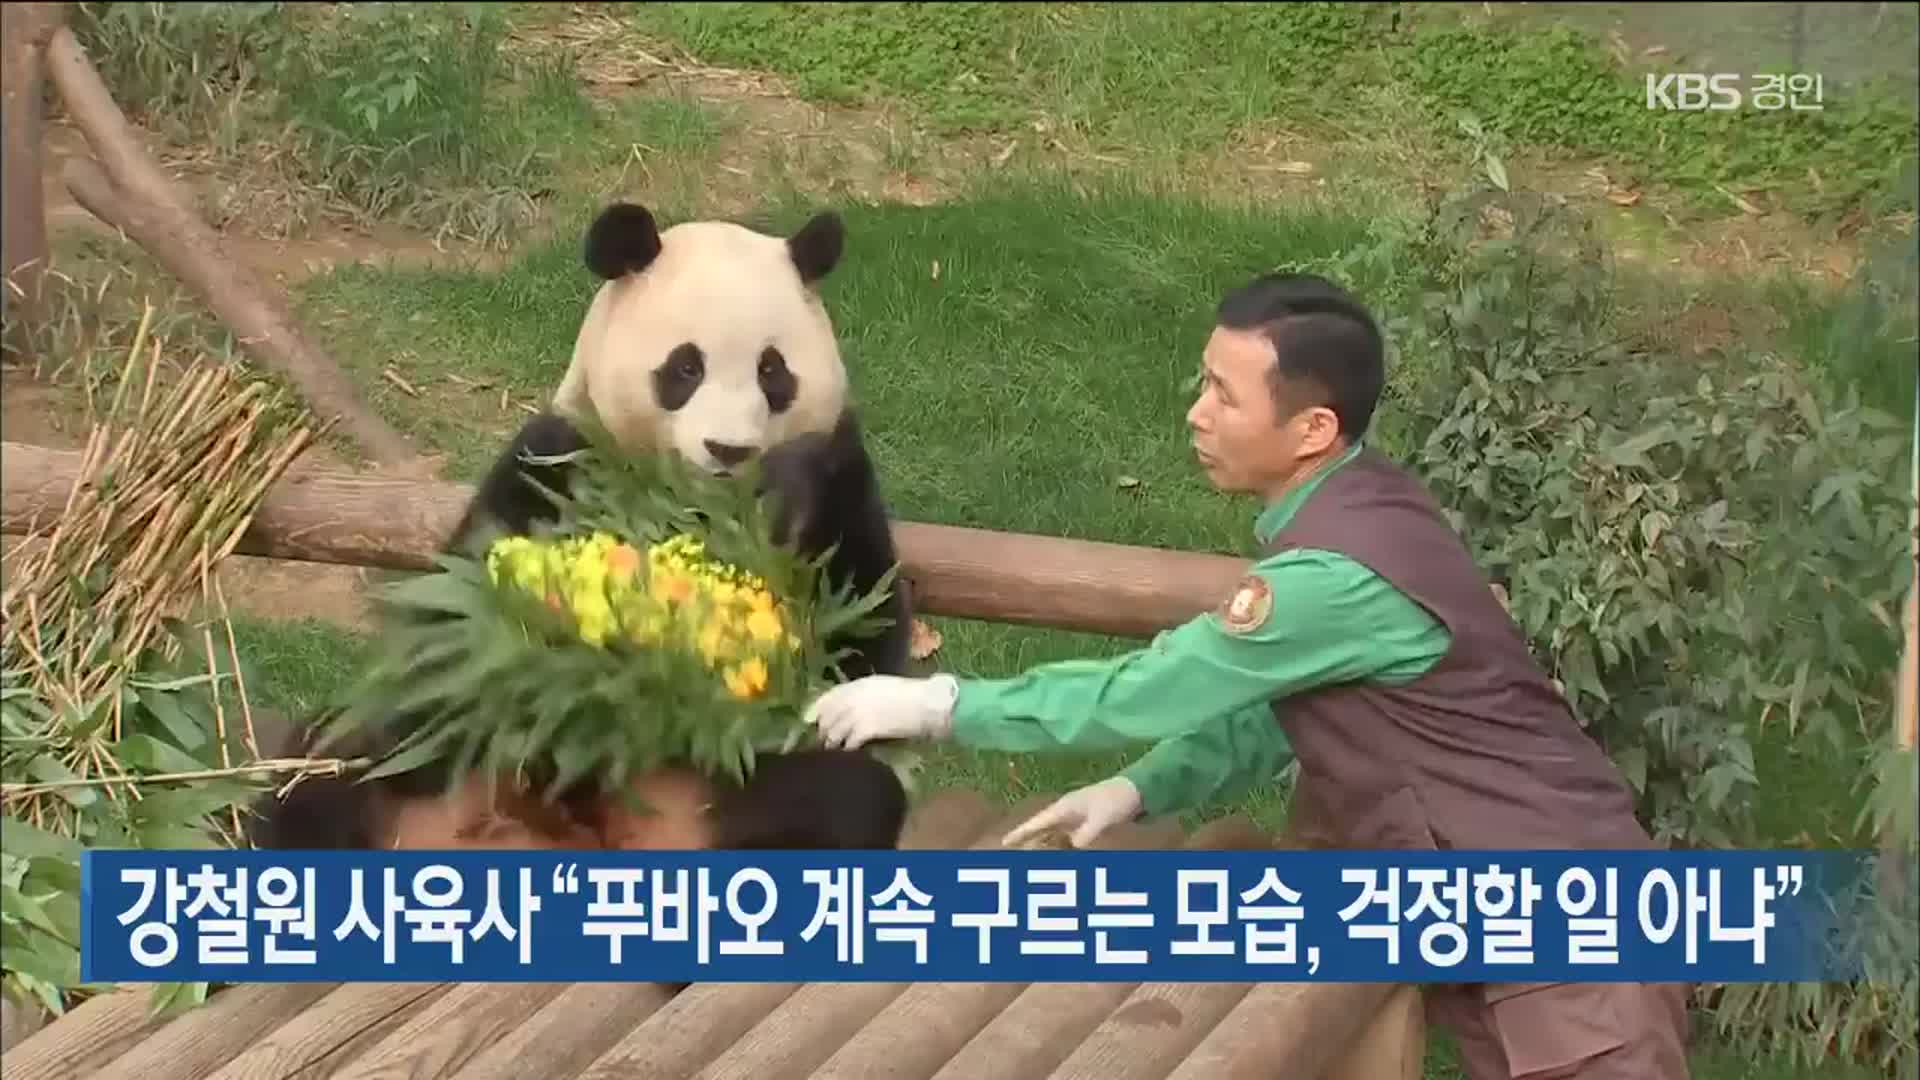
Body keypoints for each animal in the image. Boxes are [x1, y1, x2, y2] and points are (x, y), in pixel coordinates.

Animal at [245, 197, 913, 853]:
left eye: (772, 372)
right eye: (685, 368)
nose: (727, 450)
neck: (691, 507)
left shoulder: (846, 477)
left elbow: (856, 656)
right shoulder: (555, 460)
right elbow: (452, 631)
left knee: (849, 795)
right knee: (338, 757)